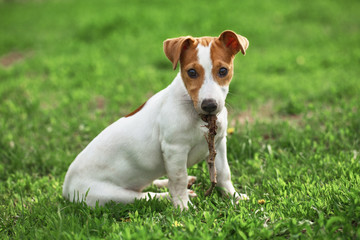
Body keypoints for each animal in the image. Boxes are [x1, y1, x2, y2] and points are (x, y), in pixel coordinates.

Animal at [63, 30, 249, 210]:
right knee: (147, 196)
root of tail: (66, 188)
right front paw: (184, 207)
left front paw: (234, 197)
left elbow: (224, 173)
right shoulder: (175, 150)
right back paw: (169, 195)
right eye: (192, 72)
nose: (209, 105)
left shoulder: (219, 143)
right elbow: (179, 180)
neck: (197, 114)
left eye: (223, 71)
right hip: (110, 196)